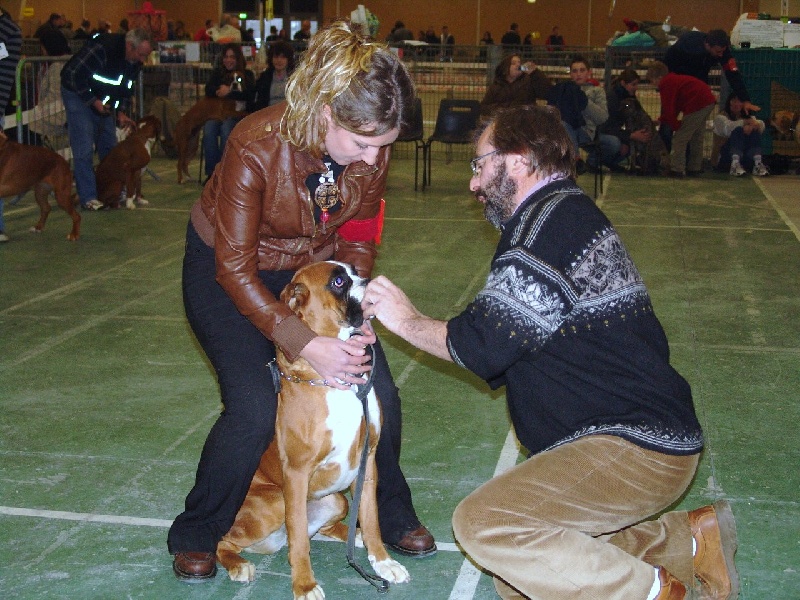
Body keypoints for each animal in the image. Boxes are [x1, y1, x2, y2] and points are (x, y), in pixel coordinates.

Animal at [216, 260, 410, 596]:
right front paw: (304, 585)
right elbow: (298, 541)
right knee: (226, 541)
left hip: (336, 499)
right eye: (338, 281)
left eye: (354, 270)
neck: (336, 382)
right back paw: (237, 565)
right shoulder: (296, 472)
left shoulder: (368, 461)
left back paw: (356, 537)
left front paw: (383, 562)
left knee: (325, 528)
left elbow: (371, 518)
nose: (370, 281)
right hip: (273, 502)